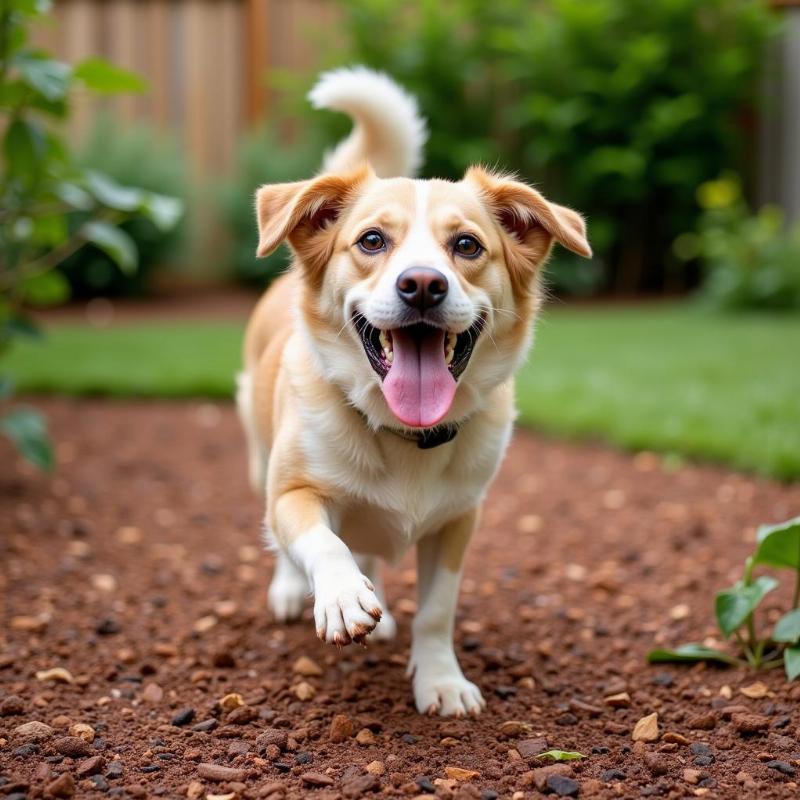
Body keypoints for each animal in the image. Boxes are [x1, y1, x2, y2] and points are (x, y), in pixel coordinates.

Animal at [234, 67, 592, 720]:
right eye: (372, 241)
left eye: (467, 246)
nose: (422, 284)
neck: (406, 434)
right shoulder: (294, 492)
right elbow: (322, 541)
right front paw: (340, 596)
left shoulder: (459, 522)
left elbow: (436, 611)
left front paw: (441, 679)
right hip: (258, 456)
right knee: (289, 540)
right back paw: (296, 589)